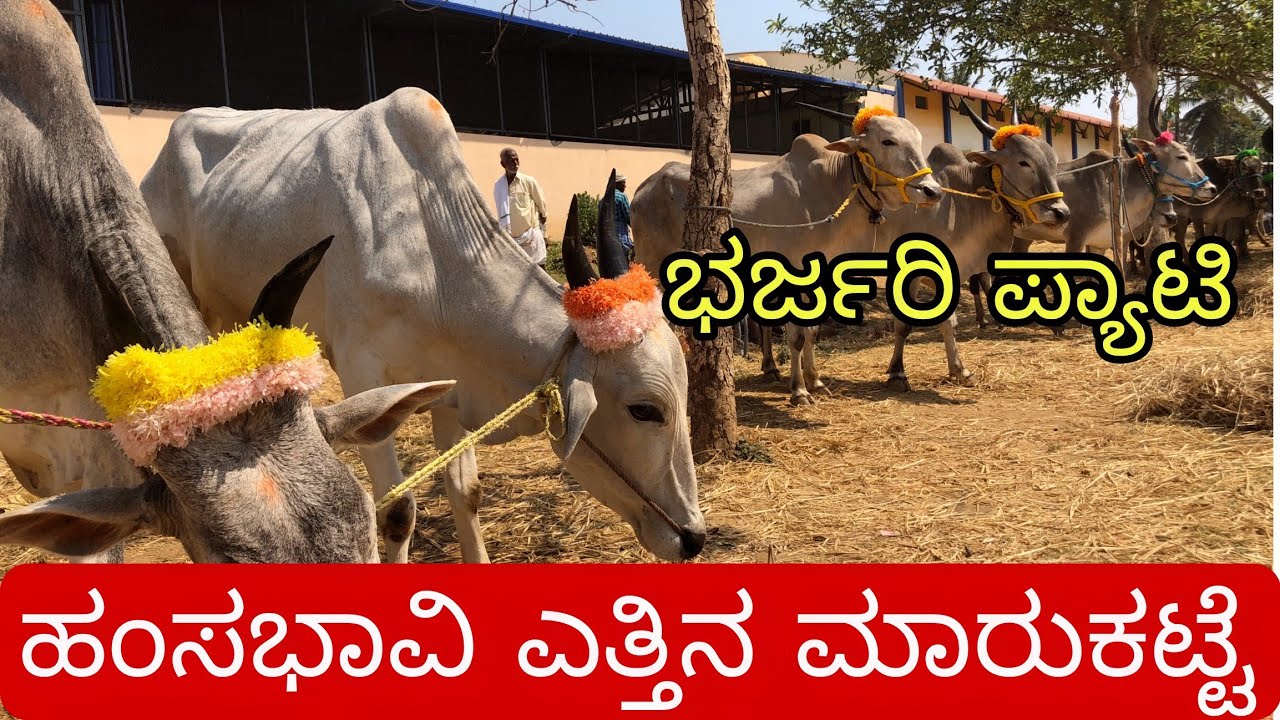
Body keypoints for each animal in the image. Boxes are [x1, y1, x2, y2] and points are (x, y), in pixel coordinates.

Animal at [140, 88, 706, 564]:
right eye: (644, 409)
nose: (694, 538)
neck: (433, 249)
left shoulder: (450, 384)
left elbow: (466, 493)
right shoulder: (363, 376)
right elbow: (397, 510)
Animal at [632, 105, 944, 405]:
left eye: (918, 141)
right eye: (888, 141)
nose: (933, 191)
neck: (832, 186)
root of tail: (644, 187)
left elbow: (812, 332)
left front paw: (815, 382)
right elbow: (796, 337)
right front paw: (799, 390)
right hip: (653, 268)